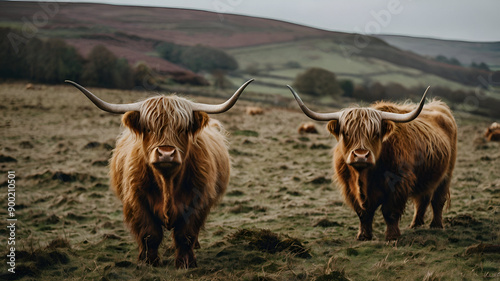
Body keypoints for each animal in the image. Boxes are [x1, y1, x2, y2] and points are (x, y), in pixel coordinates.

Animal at [65, 79, 254, 266]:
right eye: (149, 129)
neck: (167, 182)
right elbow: (150, 234)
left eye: (182, 129)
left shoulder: (196, 202)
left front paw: (185, 262)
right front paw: (149, 261)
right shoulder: (138, 202)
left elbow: (185, 234)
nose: (166, 153)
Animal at [290, 86, 458, 241]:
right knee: (422, 199)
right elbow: (363, 213)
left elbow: (390, 212)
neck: (363, 178)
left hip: (447, 174)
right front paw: (364, 236)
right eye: (346, 133)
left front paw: (392, 236)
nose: (361, 155)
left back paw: (436, 225)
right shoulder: (349, 188)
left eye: (375, 134)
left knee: (437, 200)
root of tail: (438, 105)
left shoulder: (398, 184)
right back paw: (415, 225)